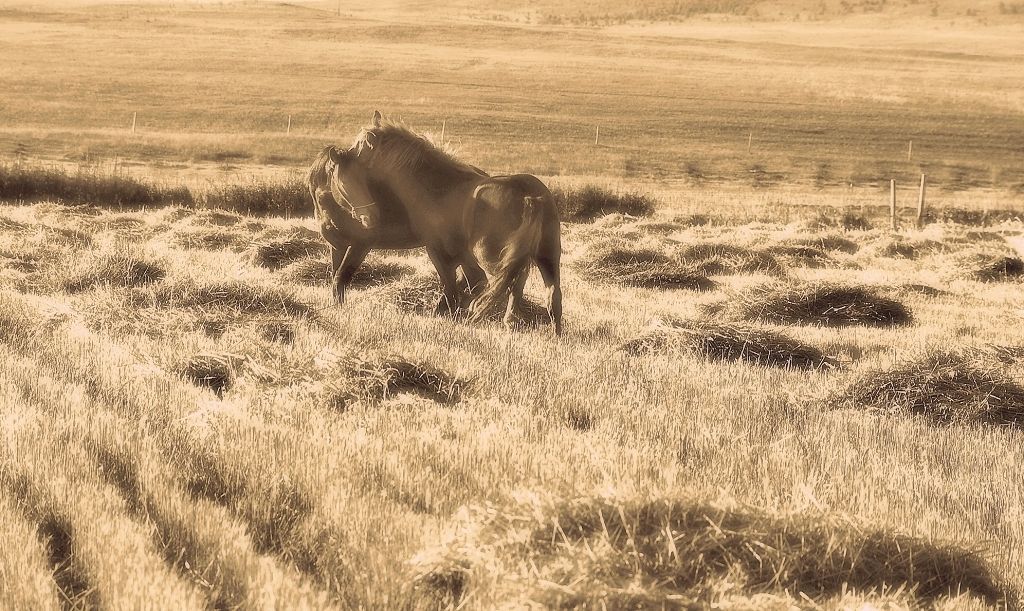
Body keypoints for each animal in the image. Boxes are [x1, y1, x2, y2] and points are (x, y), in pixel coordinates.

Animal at [309, 109, 565, 333]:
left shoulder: (436, 251)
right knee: (551, 296)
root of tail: (530, 195)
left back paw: (505, 320)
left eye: (360, 147)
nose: (371, 217)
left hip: (494, 258)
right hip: (547, 257)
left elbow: (454, 290)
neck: (439, 188)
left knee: (506, 286)